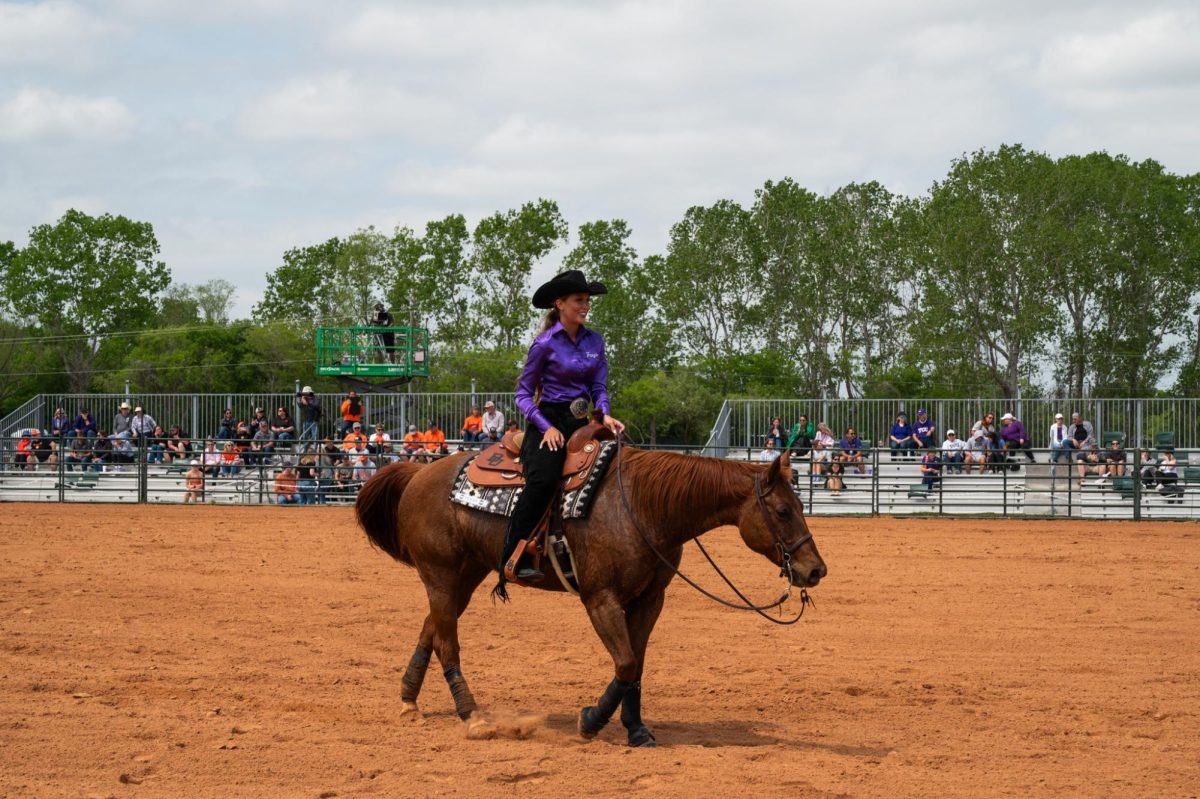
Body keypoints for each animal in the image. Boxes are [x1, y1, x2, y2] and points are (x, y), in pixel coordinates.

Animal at [352, 443, 825, 743]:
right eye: (783, 510)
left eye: (800, 507)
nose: (815, 569)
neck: (643, 507)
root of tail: (419, 472)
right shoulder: (600, 598)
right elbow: (627, 663)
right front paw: (592, 721)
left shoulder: (649, 601)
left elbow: (636, 666)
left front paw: (636, 729)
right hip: (441, 574)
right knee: (447, 643)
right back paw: (472, 716)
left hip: (464, 577)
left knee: (431, 629)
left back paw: (409, 701)